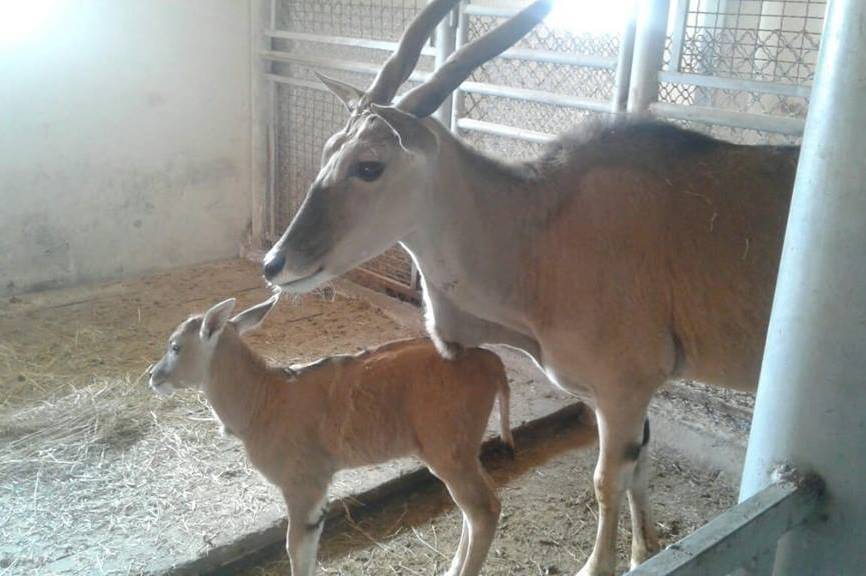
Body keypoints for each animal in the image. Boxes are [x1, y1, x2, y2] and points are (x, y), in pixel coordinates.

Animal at [149, 296, 512, 576]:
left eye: (175, 346)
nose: (153, 376)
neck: (264, 400)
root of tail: (492, 362)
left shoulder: (302, 483)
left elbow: (296, 549)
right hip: (464, 450)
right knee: (481, 503)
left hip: (447, 449)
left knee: (483, 510)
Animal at [262, 2, 796, 572]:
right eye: (327, 152)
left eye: (369, 166)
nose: (275, 263)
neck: (539, 231)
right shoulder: (634, 395)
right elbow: (640, 469)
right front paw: (643, 552)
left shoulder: (622, 391)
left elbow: (607, 480)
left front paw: (600, 563)